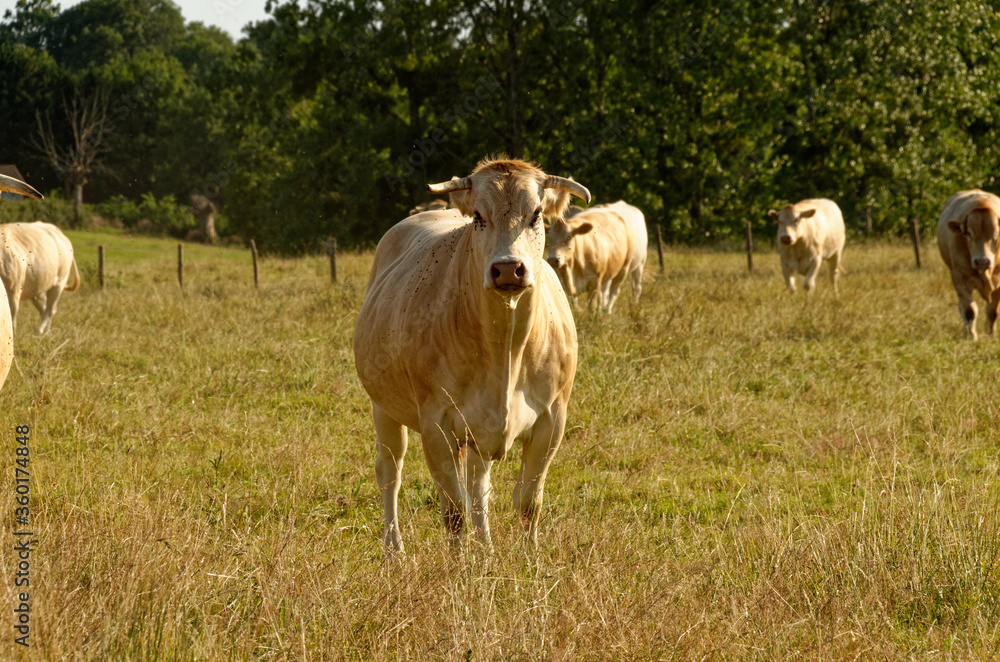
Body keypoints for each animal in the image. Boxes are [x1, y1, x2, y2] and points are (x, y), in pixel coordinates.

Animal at [354, 157, 588, 556]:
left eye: (536, 214)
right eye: (478, 216)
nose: (507, 268)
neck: (504, 349)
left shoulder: (552, 419)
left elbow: (528, 502)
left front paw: (529, 560)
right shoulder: (435, 424)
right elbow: (454, 510)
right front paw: (457, 565)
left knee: (479, 486)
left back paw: (486, 550)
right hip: (383, 407)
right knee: (390, 472)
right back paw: (394, 550)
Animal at [932, 189, 1000, 340]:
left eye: (997, 234)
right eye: (968, 233)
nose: (982, 261)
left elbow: (993, 311)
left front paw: (990, 334)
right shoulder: (960, 279)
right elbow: (970, 310)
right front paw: (971, 336)